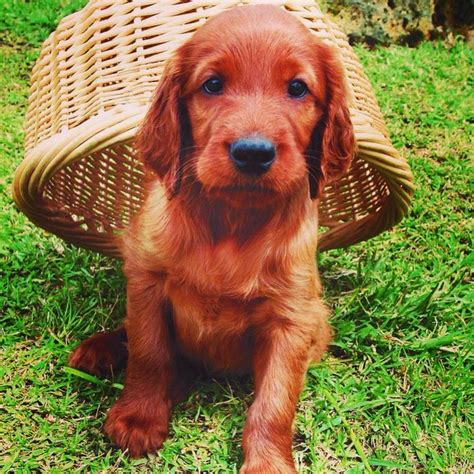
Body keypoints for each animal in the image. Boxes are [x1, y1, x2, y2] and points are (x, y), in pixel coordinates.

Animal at [69, 4, 352, 474]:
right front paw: (138, 418)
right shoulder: (147, 281)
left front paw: (269, 463)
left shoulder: (292, 317)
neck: (232, 218)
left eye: (297, 88)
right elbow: (149, 353)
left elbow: (275, 400)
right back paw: (99, 350)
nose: (253, 152)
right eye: (213, 84)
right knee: (132, 335)